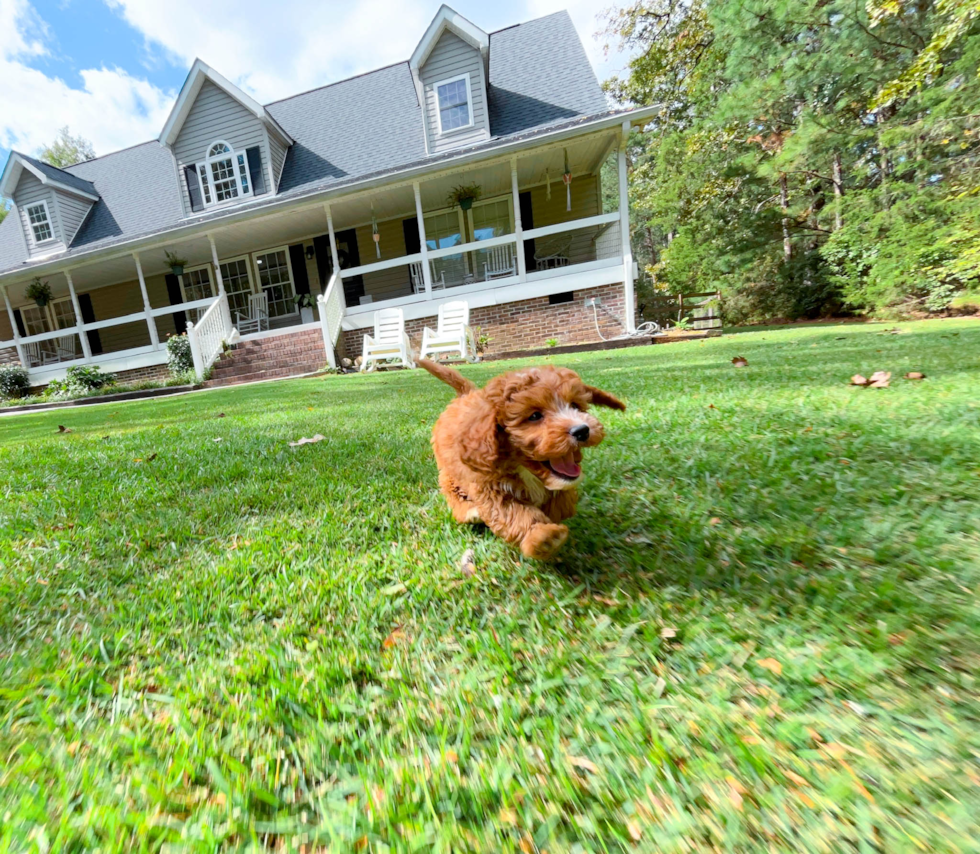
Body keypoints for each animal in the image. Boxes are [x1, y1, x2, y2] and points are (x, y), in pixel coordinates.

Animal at [418, 360, 624, 560]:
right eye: (534, 416)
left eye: (574, 405)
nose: (582, 430)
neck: (524, 469)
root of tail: (464, 395)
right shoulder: (491, 488)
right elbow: (515, 514)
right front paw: (543, 537)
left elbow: (562, 503)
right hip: (448, 473)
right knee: (452, 492)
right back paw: (470, 512)